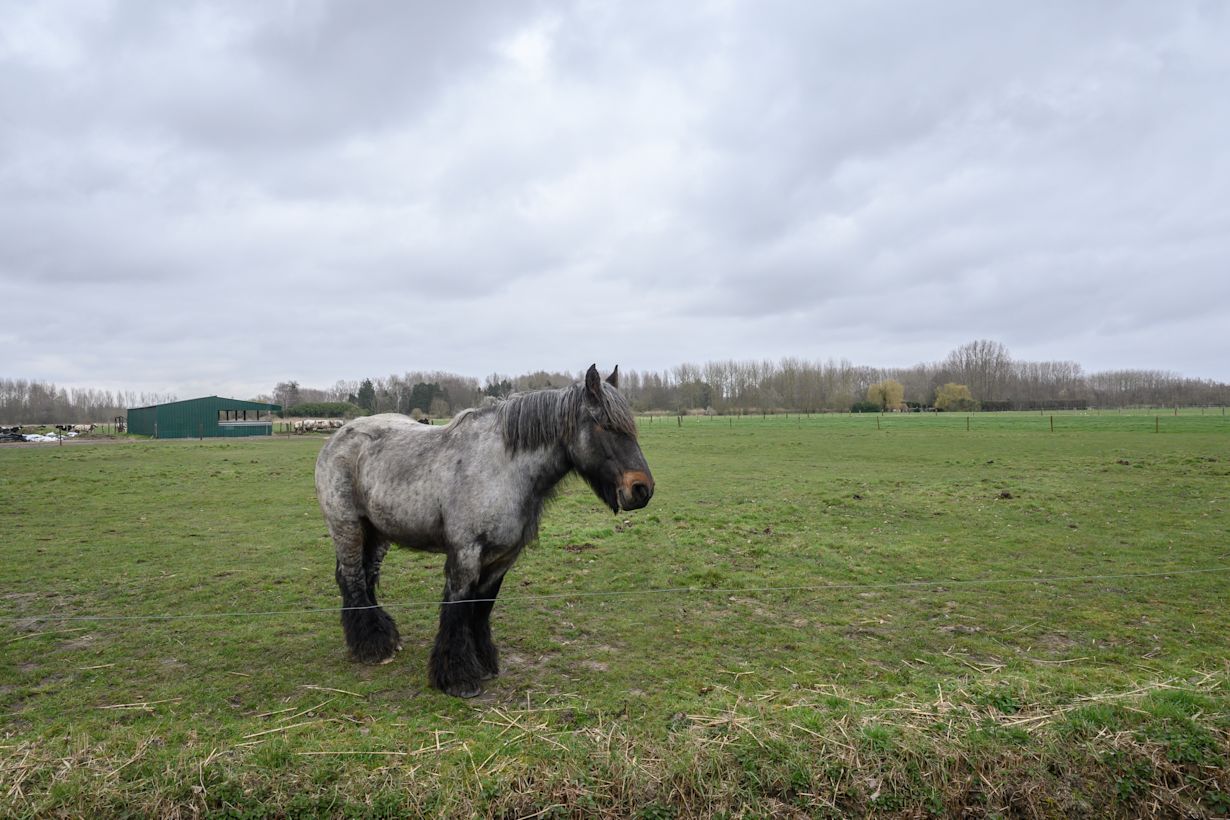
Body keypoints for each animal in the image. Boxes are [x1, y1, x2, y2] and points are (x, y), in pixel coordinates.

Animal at [315, 365, 654, 698]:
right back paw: (372, 647)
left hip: (377, 533)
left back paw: (383, 638)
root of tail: (337, 438)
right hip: (348, 527)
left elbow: (480, 610)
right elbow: (457, 608)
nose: (642, 489)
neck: (503, 470)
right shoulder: (466, 554)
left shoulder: (502, 559)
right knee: (352, 578)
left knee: (366, 576)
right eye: (606, 425)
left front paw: (484, 663)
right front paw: (457, 678)